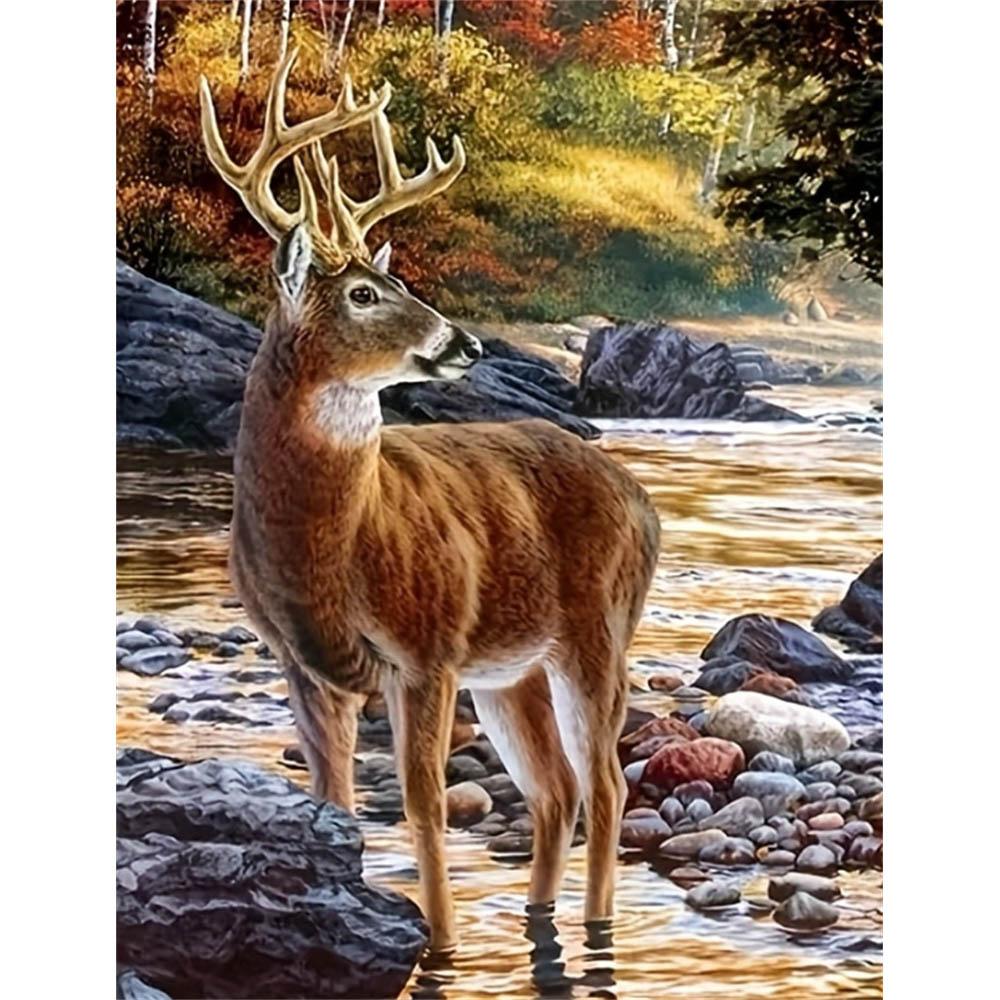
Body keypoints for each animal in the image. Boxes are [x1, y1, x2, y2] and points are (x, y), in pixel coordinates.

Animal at [200, 50, 660, 954]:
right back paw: (538, 918)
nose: (466, 343)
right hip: (513, 670)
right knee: (555, 790)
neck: (335, 546)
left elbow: (422, 806)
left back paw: (595, 930)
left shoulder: (427, 649)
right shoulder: (303, 663)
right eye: (363, 294)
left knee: (607, 786)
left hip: (597, 634)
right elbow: (333, 801)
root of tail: (643, 502)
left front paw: (439, 947)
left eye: (397, 277)